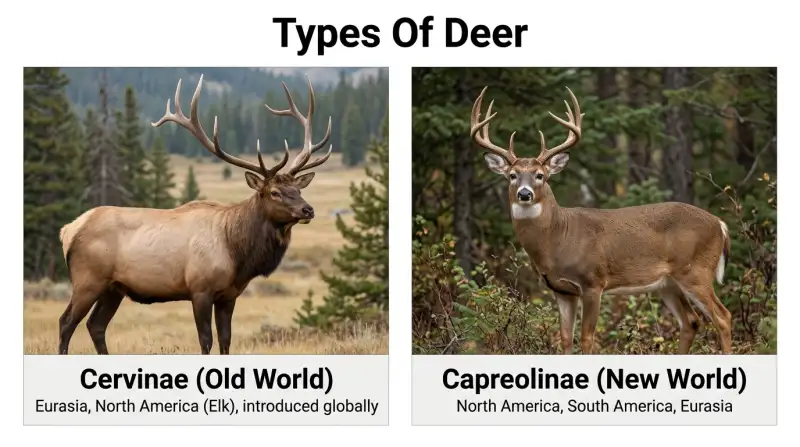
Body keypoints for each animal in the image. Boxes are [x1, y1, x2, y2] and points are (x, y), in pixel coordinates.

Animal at [57, 74, 332, 355]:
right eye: (275, 192)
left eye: (298, 189)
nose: (308, 209)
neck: (237, 253)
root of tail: (68, 230)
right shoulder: (200, 288)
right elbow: (206, 340)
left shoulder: (229, 295)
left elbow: (225, 340)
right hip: (88, 279)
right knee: (66, 322)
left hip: (114, 288)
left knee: (95, 325)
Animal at [469, 86, 733, 355]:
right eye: (512, 175)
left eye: (540, 175)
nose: (525, 194)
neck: (557, 239)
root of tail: (720, 224)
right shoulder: (561, 290)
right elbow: (565, 338)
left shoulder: (593, 282)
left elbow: (587, 338)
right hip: (667, 283)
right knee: (691, 321)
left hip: (695, 271)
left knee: (723, 317)